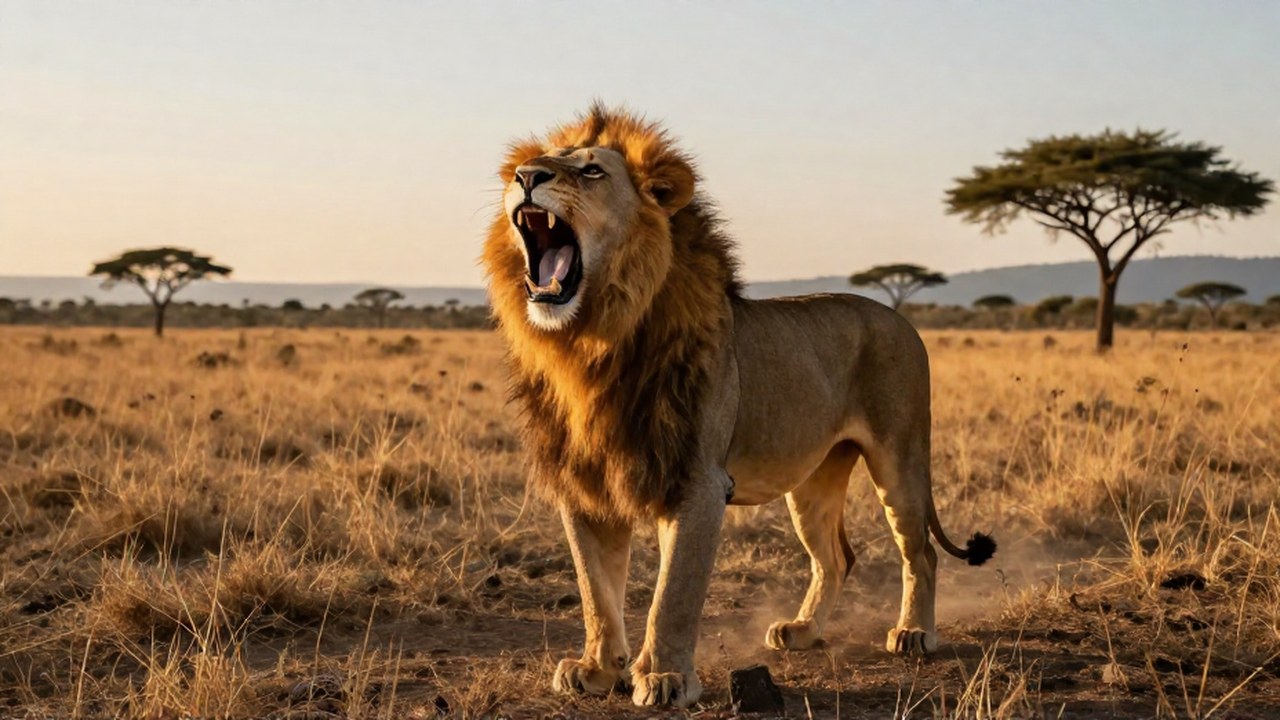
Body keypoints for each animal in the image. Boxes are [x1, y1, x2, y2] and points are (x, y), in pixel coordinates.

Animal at [481, 104, 995, 708]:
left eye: (591, 171)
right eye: (535, 162)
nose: (525, 177)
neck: (592, 345)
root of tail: (900, 317)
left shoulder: (699, 482)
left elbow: (673, 594)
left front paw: (665, 678)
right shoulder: (585, 484)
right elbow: (595, 590)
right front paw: (597, 669)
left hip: (900, 456)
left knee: (920, 551)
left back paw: (914, 633)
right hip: (814, 478)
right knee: (835, 556)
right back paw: (803, 631)